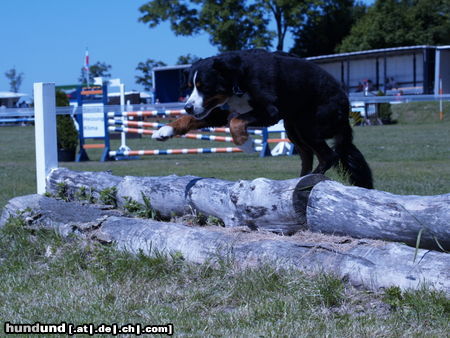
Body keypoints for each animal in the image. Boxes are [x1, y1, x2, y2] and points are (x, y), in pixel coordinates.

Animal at [153, 48, 374, 189]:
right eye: (190, 86)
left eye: (204, 86)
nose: (188, 106)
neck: (238, 78)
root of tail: (346, 107)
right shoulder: (226, 110)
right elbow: (192, 120)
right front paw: (165, 130)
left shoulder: (269, 112)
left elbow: (235, 123)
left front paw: (247, 144)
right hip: (293, 128)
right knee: (307, 155)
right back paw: (298, 180)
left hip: (308, 125)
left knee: (328, 156)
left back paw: (309, 177)